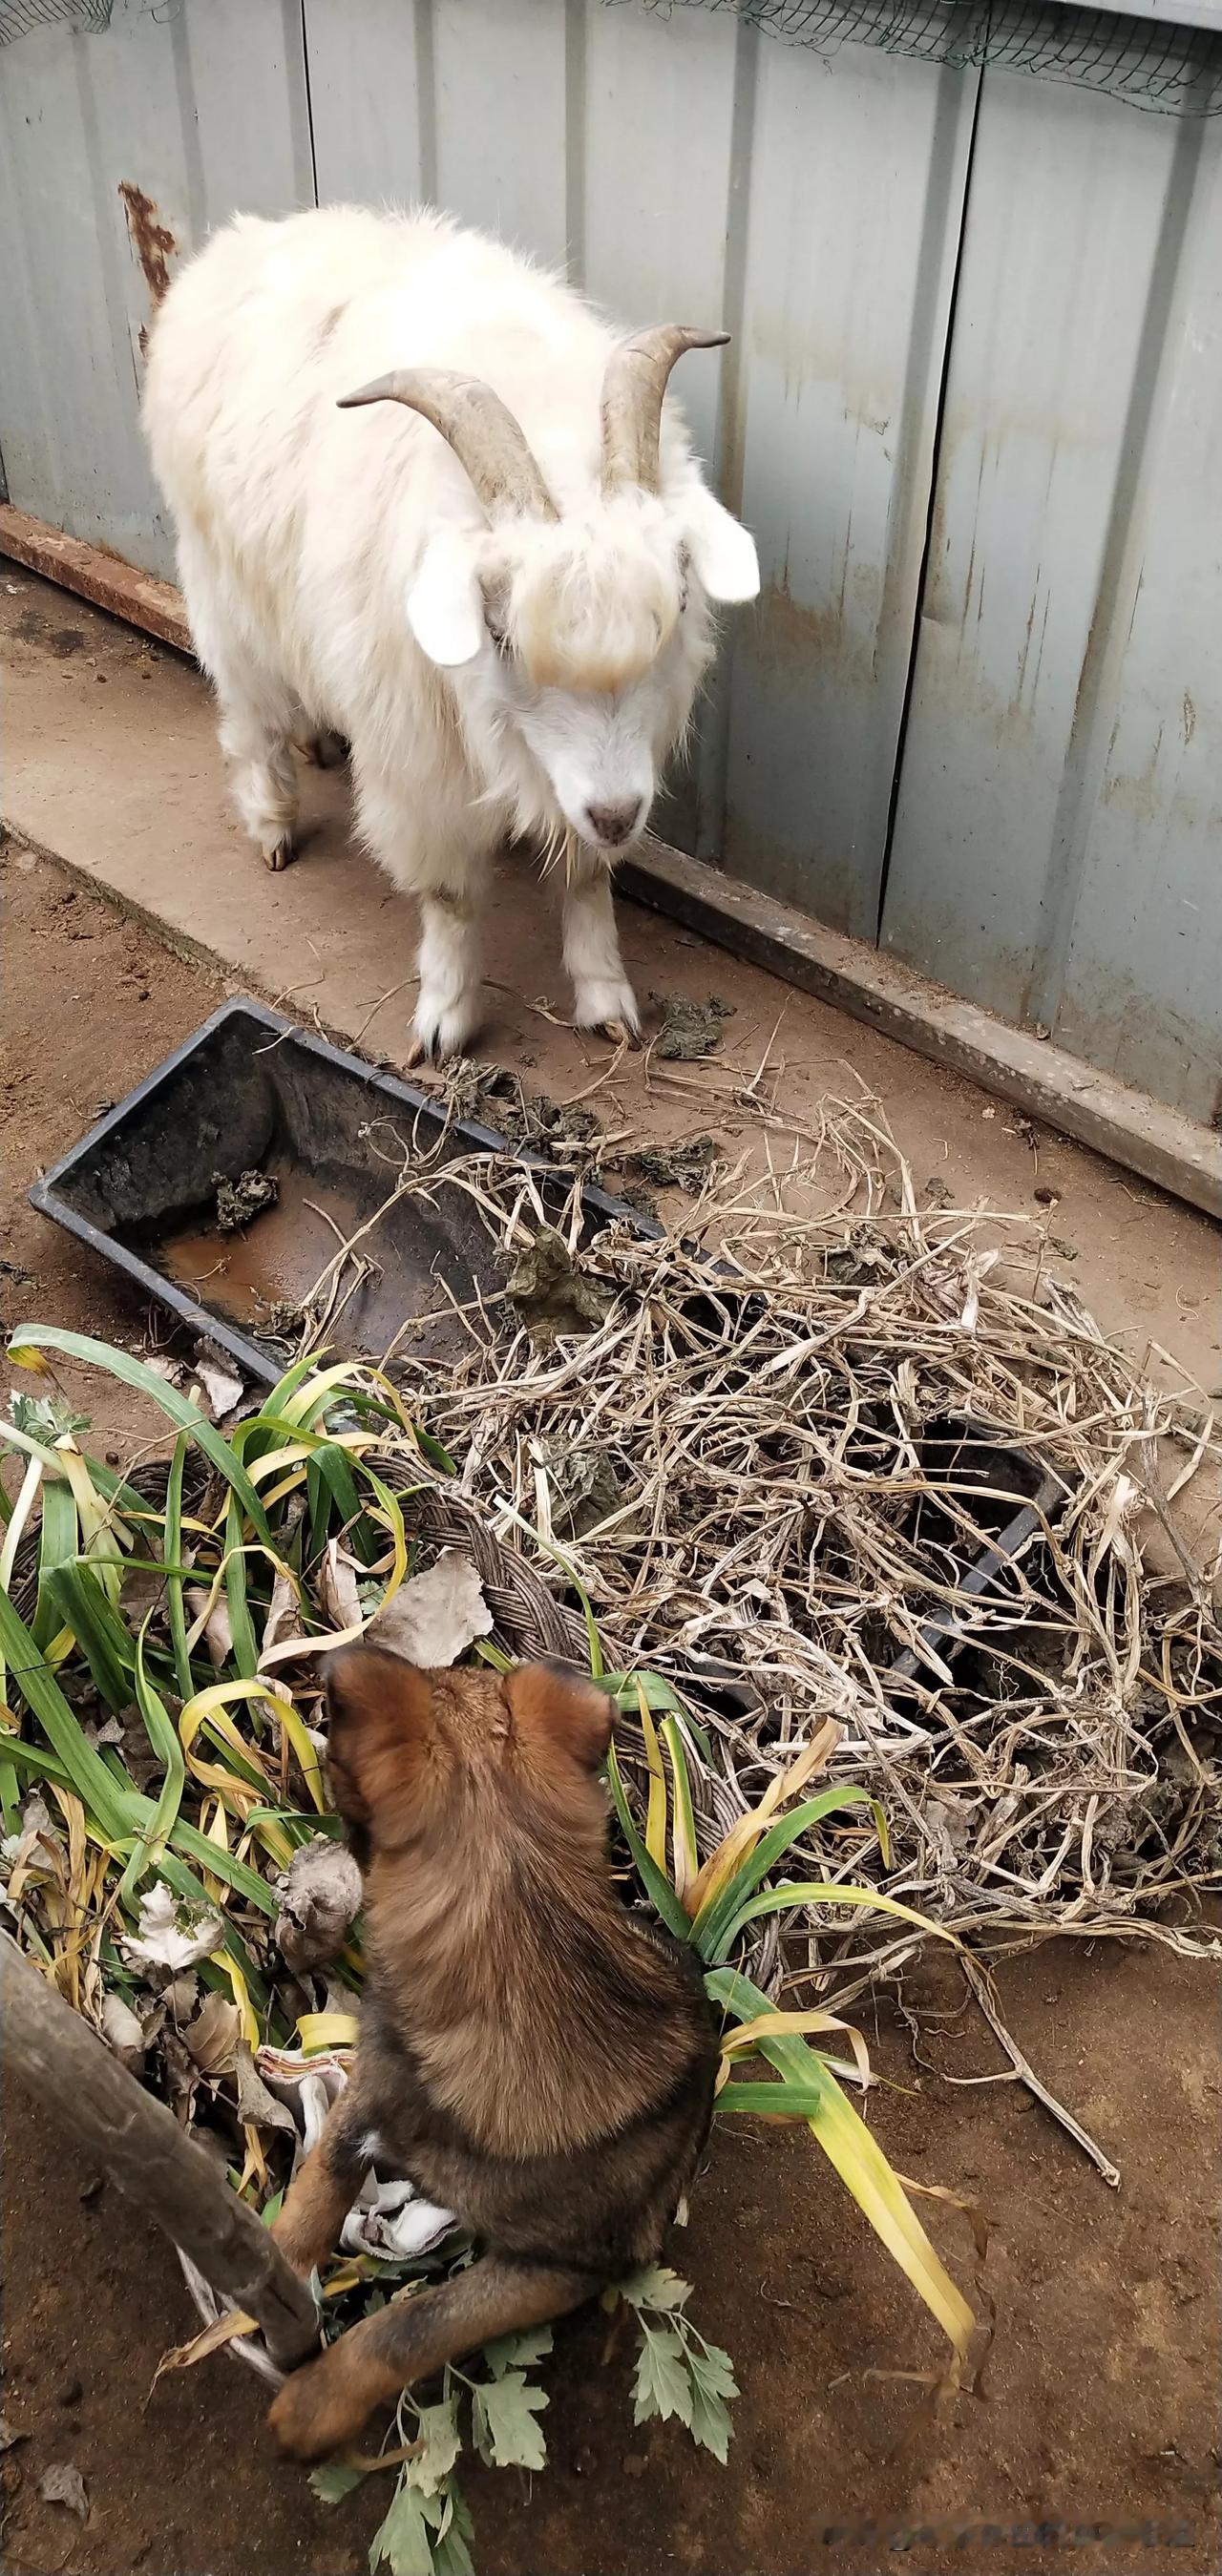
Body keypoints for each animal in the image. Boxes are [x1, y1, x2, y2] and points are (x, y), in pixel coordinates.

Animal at [140, 205, 752, 1060]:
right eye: (497, 633)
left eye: (678, 602)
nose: (616, 815)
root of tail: (249, 233)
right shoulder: (419, 759)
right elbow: (451, 895)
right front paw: (446, 1022)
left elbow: (586, 876)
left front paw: (606, 1000)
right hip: (223, 587)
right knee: (249, 713)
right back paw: (272, 822)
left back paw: (317, 741)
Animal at [266, 1648, 716, 2452]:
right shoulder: (372, 2089)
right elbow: (316, 2188)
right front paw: (263, 2280)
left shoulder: (561, 2267)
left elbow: (415, 2324)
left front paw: (314, 2402)